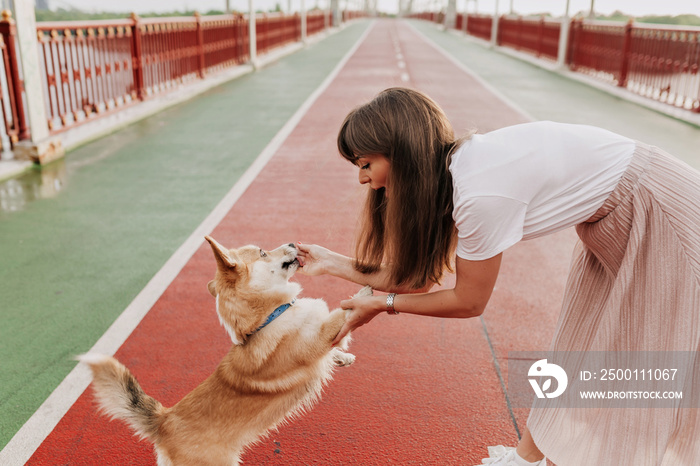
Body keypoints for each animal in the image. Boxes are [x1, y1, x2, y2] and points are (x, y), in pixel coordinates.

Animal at [80, 238, 360, 464]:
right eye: (262, 252)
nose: (294, 242)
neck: (269, 317)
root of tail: (163, 421)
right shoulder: (319, 337)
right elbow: (342, 313)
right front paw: (366, 293)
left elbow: (336, 342)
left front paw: (343, 358)